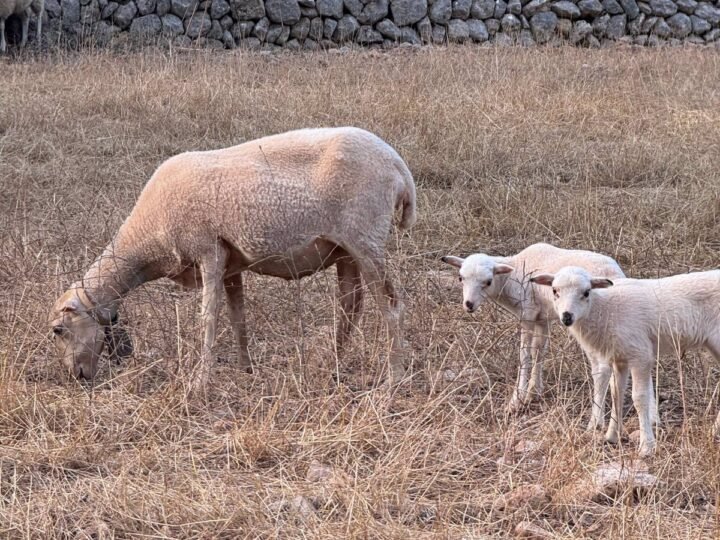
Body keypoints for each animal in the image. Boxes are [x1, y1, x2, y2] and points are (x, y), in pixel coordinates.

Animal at [47, 129, 416, 394]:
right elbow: (238, 318)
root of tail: (399, 166)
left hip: (366, 240)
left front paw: (199, 382)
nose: (76, 377)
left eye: (58, 330)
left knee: (391, 306)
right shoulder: (231, 264)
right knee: (350, 306)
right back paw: (334, 367)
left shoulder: (209, 252)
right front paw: (245, 369)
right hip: (345, 250)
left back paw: (394, 378)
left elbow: (208, 319)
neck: (147, 239)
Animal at [438, 242, 624, 426]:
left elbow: (524, 354)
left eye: (488, 281)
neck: (513, 273)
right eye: (460, 278)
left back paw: (597, 422)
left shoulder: (526, 314)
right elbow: (538, 351)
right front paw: (534, 391)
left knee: (602, 369)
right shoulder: (543, 318)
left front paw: (517, 399)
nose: (468, 304)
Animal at [528, 266, 720, 456]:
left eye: (587, 292)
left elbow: (639, 398)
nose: (567, 316)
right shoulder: (619, 358)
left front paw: (646, 446)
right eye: (554, 291)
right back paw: (714, 431)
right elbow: (616, 393)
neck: (604, 310)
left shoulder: (640, 355)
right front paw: (612, 436)